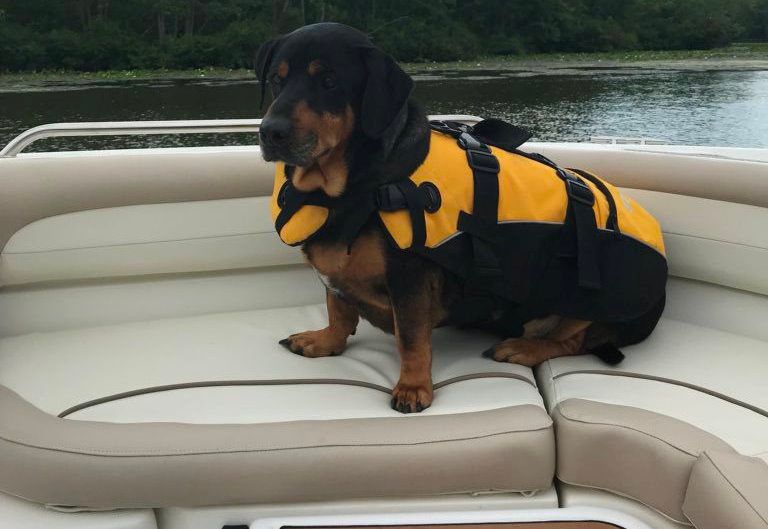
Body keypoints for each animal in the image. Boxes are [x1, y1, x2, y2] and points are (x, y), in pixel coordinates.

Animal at [255, 22, 664, 412]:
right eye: (276, 79)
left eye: (329, 82)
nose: (270, 133)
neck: (351, 185)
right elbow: (338, 310)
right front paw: (325, 341)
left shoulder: (409, 278)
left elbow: (411, 338)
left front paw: (413, 387)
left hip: (588, 302)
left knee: (570, 341)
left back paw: (523, 347)